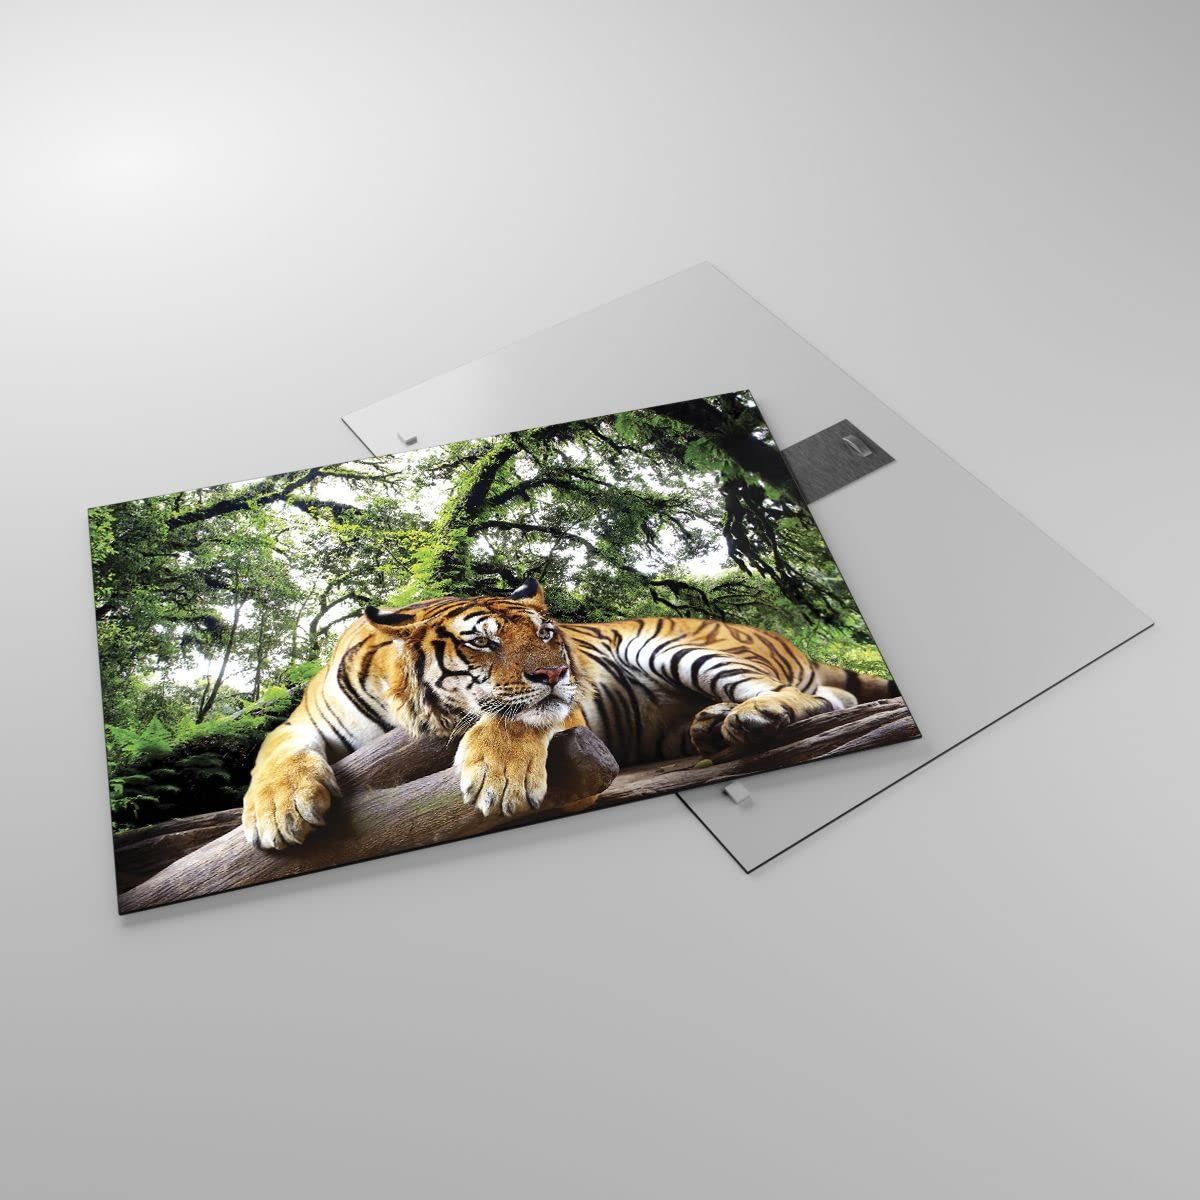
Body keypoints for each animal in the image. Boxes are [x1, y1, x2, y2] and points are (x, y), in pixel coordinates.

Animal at [241, 576, 900, 850]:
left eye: (546, 633)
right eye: (481, 642)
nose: (557, 672)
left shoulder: (560, 709)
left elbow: (517, 716)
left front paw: (500, 779)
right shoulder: (300, 725)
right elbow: (272, 755)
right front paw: (278, 813)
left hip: (675, 646)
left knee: (817, 697)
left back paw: (747, 719)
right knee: (833, 699)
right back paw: (713, 725)